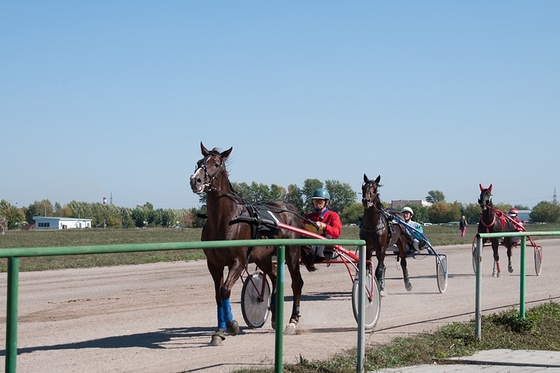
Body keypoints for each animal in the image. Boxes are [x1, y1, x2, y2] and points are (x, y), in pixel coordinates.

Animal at [190, 143, 308, 346]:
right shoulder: (213, 264)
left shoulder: (238, 261)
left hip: (292, 253)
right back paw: (275, 318)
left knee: (297, 283)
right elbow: (218, 295)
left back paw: (292, 321)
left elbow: (225, 290)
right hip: (263, 257)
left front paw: (232, 326)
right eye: (198, 162)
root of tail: (290, 209)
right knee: (274, 276)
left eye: (216, 164)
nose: (195, 180)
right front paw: (219, 331)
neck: (225, 219)